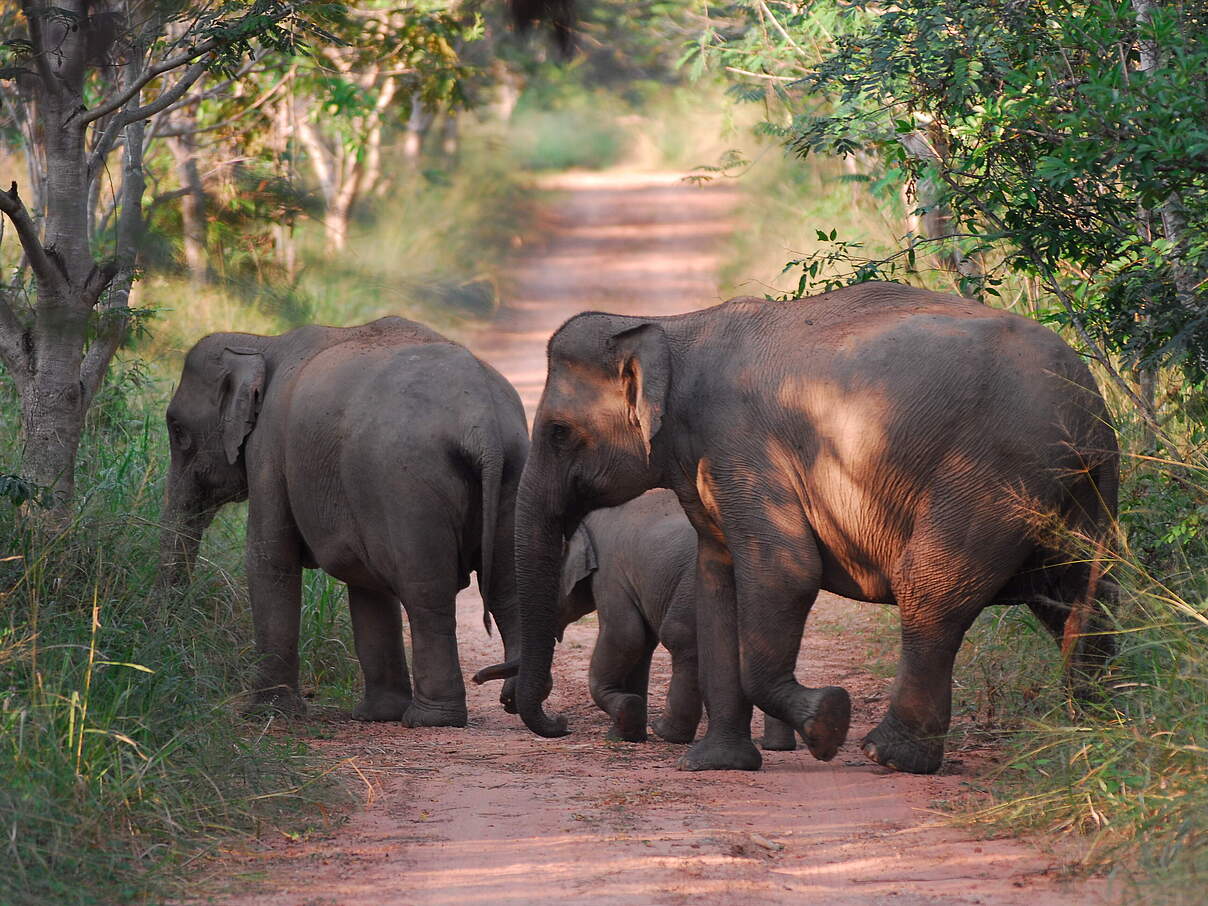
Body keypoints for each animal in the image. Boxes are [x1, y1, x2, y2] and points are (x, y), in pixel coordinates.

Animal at [158, 316, 526, 729]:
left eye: (178, 431)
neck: (261, 344)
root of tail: (483, 424)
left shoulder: (268, 448)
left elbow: (270, 559)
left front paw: (267, 714)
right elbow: (366, 584)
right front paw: (376, 715)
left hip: (407, 484)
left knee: (427, 592)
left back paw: (431, 719)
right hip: (515, 468)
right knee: (507, 587)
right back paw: (514, 701)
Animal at [473, 490, 802, 753]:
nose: (562, 722)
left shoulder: (611, 573)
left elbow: (626, 637)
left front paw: (625, 718)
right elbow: (641, 647)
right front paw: (625, 734)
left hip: (693, 584)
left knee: (680, 639)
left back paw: (668, 732)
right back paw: (778, 746)